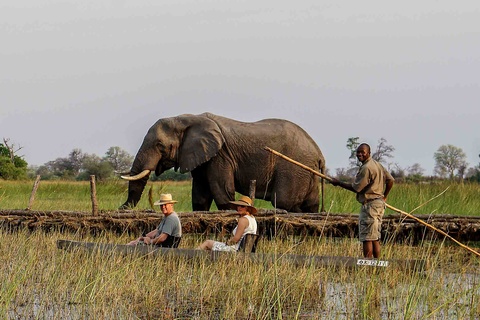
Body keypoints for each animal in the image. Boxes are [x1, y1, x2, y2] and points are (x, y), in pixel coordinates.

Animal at [120, 112, 326, 212]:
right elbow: (200, 197)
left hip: (293, 168)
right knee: (310, 205)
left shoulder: (221, 155)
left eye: (160, 145)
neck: (188, 118)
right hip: (307, 172)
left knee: (283, 201)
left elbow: (223, 193)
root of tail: (319, 154)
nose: (121, 207)